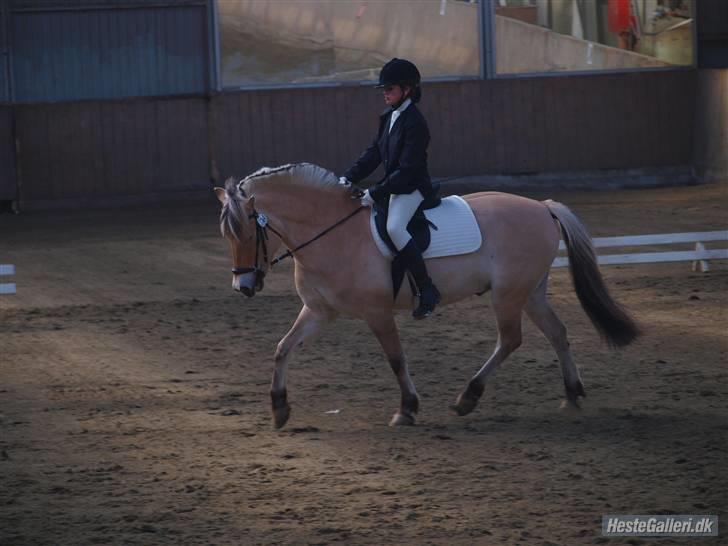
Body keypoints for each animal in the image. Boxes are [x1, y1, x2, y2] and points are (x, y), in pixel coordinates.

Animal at [213, 164, 640, 428]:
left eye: (247, 233)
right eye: (226, 236)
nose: (243, 287)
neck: (331, 232)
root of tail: (542, 206)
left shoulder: (378, 313)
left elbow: (396, 359)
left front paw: (407, 409)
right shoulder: (318, 311)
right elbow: (283, 349)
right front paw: (279, 408)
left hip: (508, 294)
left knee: (510, 339)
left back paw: (468, 397)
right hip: (531, 291)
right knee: (557, 333)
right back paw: (572, 395)